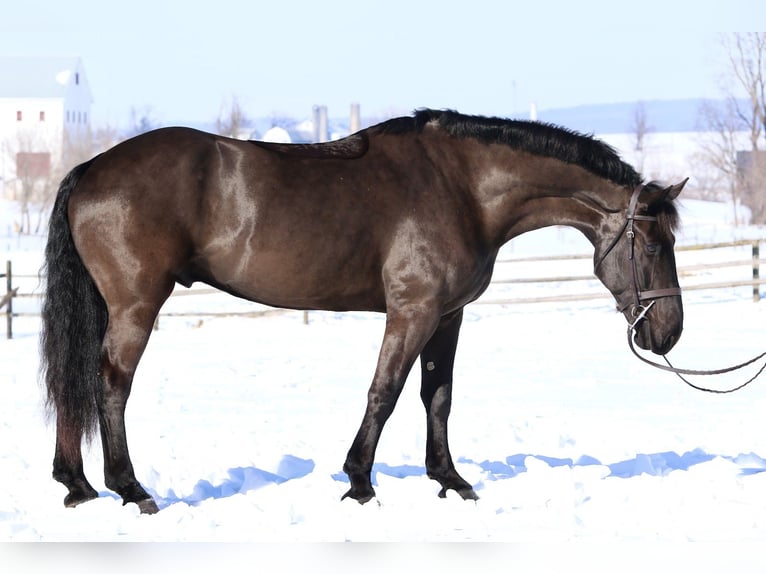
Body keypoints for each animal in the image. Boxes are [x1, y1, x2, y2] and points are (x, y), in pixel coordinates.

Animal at [40, 109, 686, 514]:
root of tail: (92, 169)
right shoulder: (412, 311)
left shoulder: (447, 317)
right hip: (135, 305)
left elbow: (437, 397)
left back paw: (77, 486)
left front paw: (450, 480)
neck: (462, 187)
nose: (668, 332)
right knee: (110, 384)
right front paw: (359, 484)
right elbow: (385, 392)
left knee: (77, 382)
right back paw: (130, 489)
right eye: (655, 244)